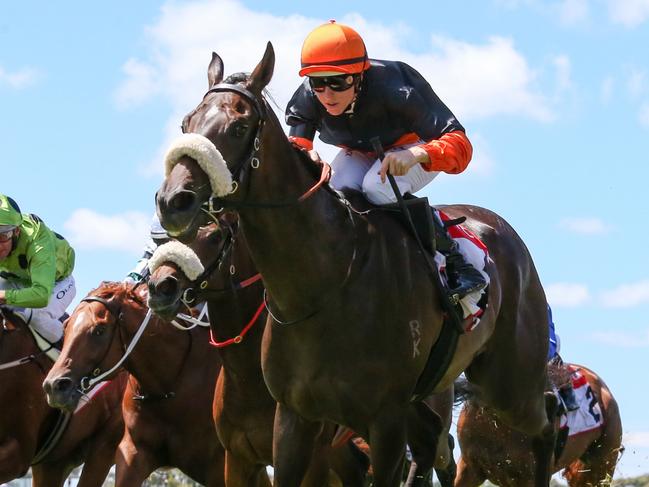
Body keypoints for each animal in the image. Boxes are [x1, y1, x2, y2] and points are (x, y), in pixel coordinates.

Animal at [154, 43, 556, 486]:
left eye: (239, 127)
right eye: (186, 122)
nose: (174, 201)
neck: (322, 284)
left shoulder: (383, 423)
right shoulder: (293, 418)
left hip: (510, 382)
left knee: (547, 421)